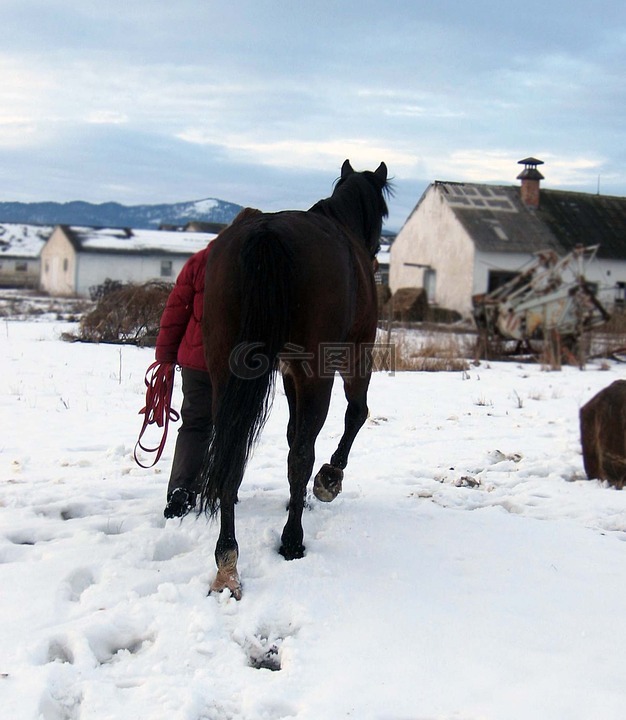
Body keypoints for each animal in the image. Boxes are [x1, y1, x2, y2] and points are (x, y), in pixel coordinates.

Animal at [197, 160, 388, 600]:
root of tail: (266, 234)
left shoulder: (288, 374)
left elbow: (290, 433)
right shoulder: (353, 356)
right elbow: (355, 414)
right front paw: (329, 481)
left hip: (225, 370)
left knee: (232, 455)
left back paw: (227, 557)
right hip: (319, 372)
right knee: (303, 453)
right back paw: (292, 540)